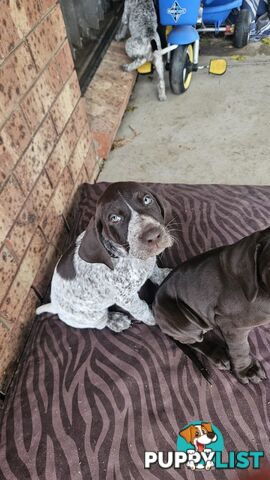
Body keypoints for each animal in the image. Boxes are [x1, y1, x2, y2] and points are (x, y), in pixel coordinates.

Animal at [36, 182, 173, 332]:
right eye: (114, 218)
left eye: (147, 199)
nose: (153, 236)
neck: (129, 259)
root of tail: (54, 306)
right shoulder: (126, 298)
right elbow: (141, 309)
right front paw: (155, 318)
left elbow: (155, 271)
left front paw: (164, 275)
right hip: (91, 316)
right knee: (101, 323)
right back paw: (115, 320)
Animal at [153, 227, 270, 384]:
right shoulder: (233, 326)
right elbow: (240, 348)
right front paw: (247, 370)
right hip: (184, 322)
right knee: (191, 341)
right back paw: (217, 354)